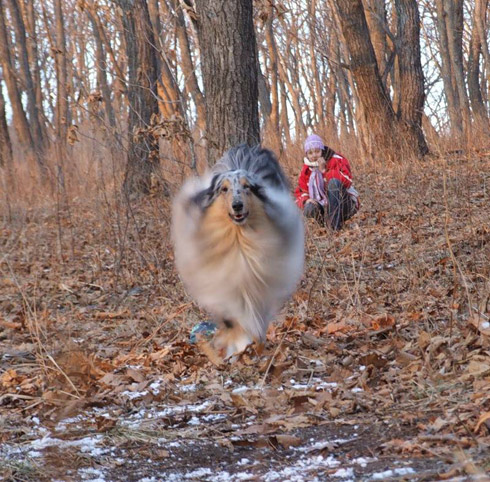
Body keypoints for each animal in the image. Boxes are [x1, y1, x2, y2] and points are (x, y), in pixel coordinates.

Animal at [171, 145, 302, 360]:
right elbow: (230, 316)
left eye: (247, 187)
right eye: (223, 189)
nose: (237, 205)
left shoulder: (261, 278)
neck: (238, 241)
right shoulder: (221, 281)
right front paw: (236, 344)